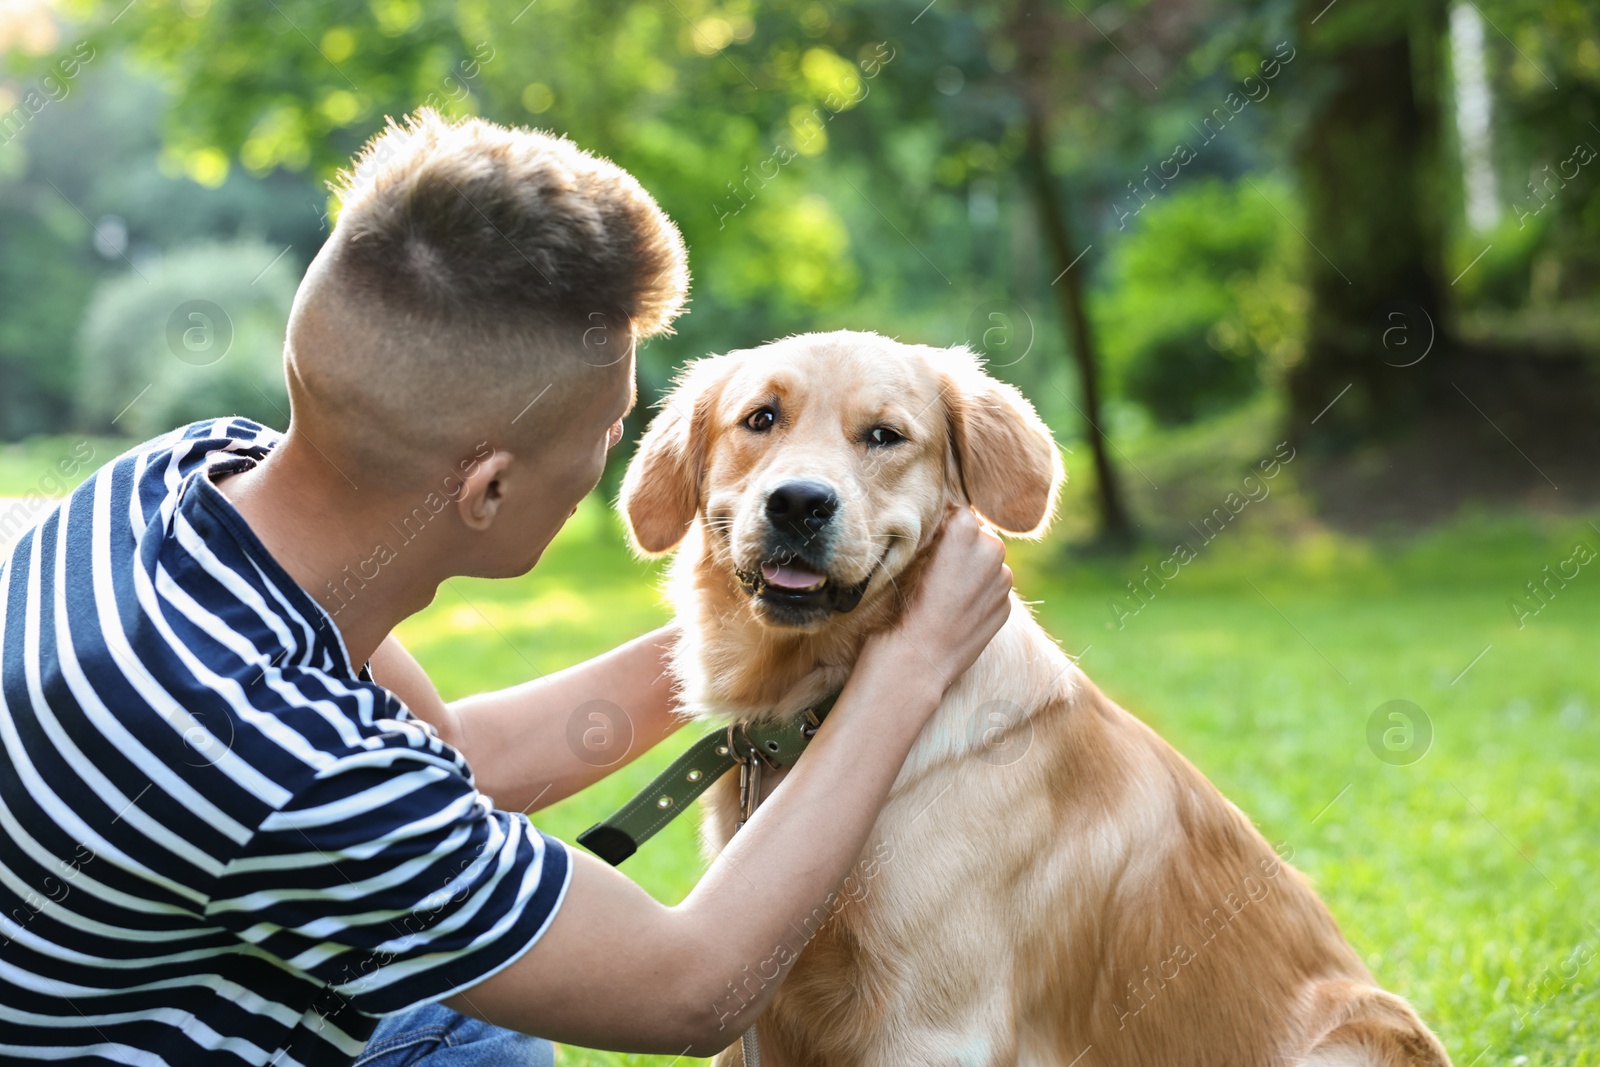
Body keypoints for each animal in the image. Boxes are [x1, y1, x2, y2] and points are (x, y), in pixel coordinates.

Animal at [614, 329, 1452, 1062]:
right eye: (760, 419)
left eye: (884, 435)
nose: (797, 502)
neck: (823, 712)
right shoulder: (758, 1009)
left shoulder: (930, 1023)